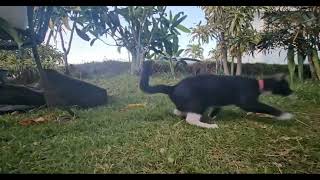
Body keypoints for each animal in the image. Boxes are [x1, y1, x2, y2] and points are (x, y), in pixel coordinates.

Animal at [140, 61, 296, 129]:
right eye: (286, 86)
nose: (293, 91)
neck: (259, 84)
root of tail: (173, 87)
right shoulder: (248, 103)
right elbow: (268, 108)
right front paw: (285, 115)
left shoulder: (218, 101)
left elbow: (218, 108)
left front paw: (213, 115)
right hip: (198, 103)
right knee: (191, 119)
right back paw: (209, 126)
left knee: (177, 111)